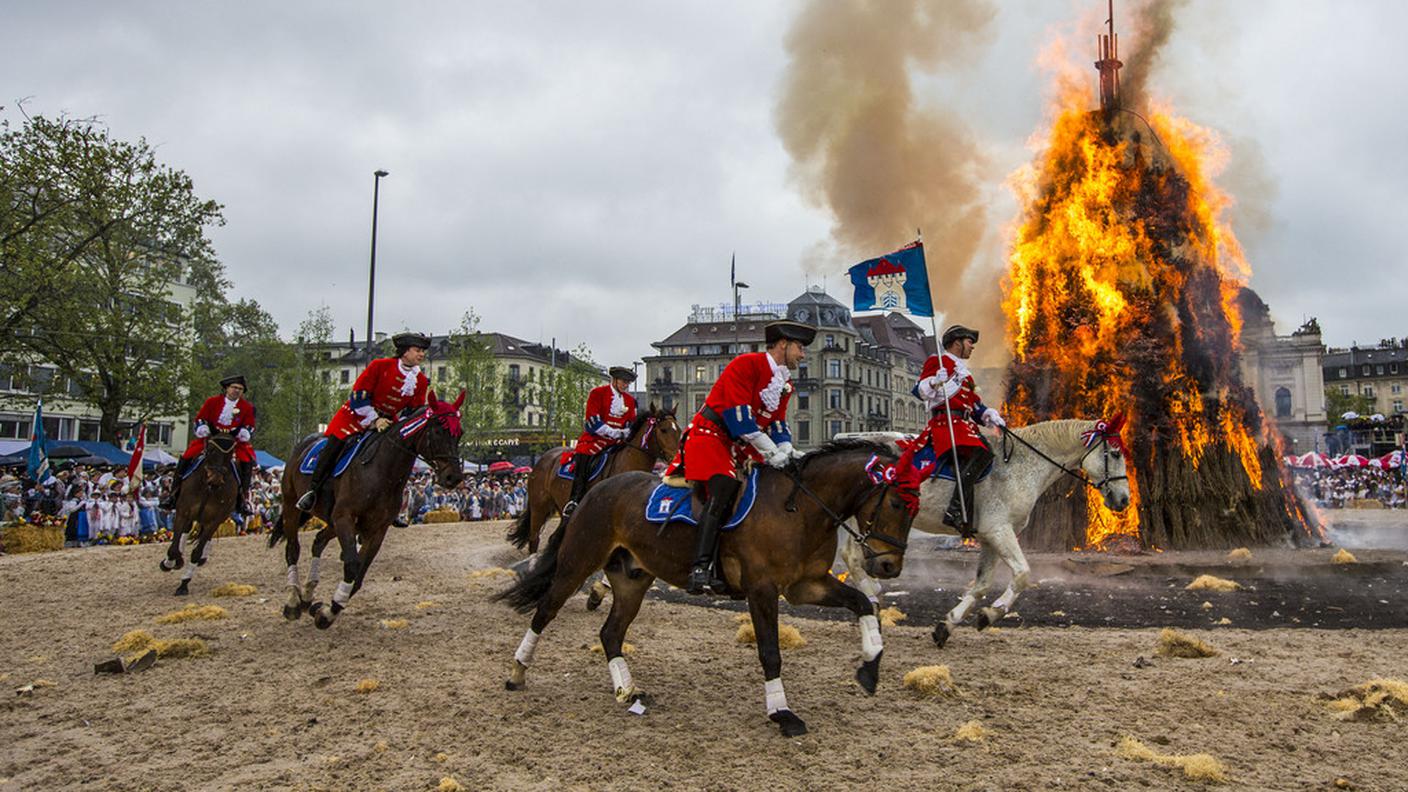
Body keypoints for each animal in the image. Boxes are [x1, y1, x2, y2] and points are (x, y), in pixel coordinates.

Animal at [159, 431, 239, 591]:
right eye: (211, 450)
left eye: (231, 453)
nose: (215, 480)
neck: (207, 488)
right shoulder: (183, 512)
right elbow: (173, 548)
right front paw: (169, 562)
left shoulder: (214, 520)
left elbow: (197, 552)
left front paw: (184, 583)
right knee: (185, 531)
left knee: (205, 538)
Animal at [273, 391, 467, 625]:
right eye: (438, 430)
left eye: (460, 434)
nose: (453, 477)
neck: (382, 470)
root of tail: (305, 442)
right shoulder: (345, 518)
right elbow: (352, 565)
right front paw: (327, 614)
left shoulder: (376, 530)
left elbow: (358, 575)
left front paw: (326, 609)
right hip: (293, 507)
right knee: (293, 549)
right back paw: (293, 601)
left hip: (333, 522)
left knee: (318, 541)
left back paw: (308, 594)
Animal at [498, 436, 923, 732]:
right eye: (898, 504)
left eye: (916, 509)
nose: (889, 565)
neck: (800, 508)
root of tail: (596, 490)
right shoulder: (763, 589)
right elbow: (770, 652)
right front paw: (782, 712)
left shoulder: (807, 585)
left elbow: (863, 603)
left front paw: (870, 668)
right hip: (578, 561)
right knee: (545, 610)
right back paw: (518, 672)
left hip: (633, 579)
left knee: (611, 633)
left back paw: (627, 689)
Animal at [506, 403, 681, 552]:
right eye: (663, 430)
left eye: (678, 430)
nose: (677, 461)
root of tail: (544, 458)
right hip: (539, 506)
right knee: (534, 539)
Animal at [833, 417, 1132, 645]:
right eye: (1116, 453)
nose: (1124, 499)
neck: (1020, 465)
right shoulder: (1000, 531)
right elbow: (1022, 574)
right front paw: (992, 613)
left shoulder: (989, 538)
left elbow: (981, 585)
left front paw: (949, 624)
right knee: (852, 556)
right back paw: (872, 597)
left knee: (851, 556)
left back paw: (872, 593)